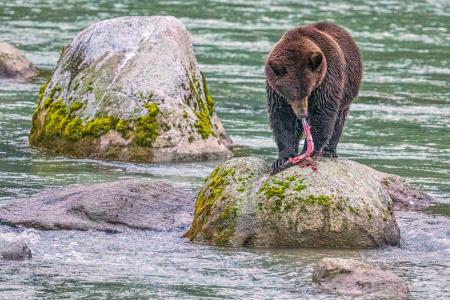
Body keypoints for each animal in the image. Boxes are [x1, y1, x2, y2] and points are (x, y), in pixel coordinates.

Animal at [266, 21, 364, 173]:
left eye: (308, 90)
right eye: (292, 94)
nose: (303, 113)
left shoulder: (327, 77)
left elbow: (322, 113)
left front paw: (308, 153)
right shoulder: (276, 91)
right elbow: (281, 117)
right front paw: (282, 158)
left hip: (347, 90)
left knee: (338, 120)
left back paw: (329, 151)